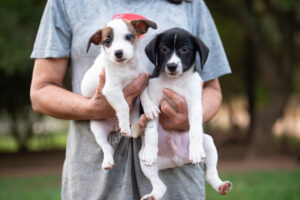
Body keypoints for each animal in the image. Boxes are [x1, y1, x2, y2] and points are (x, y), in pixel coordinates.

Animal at [81, 18, 158, 170]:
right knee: (107, 147)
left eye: (128, 37)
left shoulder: (141, 79)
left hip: (134, 116)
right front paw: (124, 124)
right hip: (97, 128)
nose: (118, 53)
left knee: (134, 133)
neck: (126, 67)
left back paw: (139, 124)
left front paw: (150, 108)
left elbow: (144, 95)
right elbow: (123, 106)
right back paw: (108, 159)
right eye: (107, 41)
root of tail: (114, 126)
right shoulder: (112, 89)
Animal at [138, 28, 232, 200]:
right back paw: (152, 195)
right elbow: (151, 130)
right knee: (160, 185)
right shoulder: (153, 102)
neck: (174, 81)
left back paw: (221, 185)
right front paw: (151, 149)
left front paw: (195, 151)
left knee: (210, 173)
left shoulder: (194, 103)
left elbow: (194, 128)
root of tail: (176, 160)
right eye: (164, 49)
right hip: (144, 162)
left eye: (185, 49)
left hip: (208, 142)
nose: (172, 66)